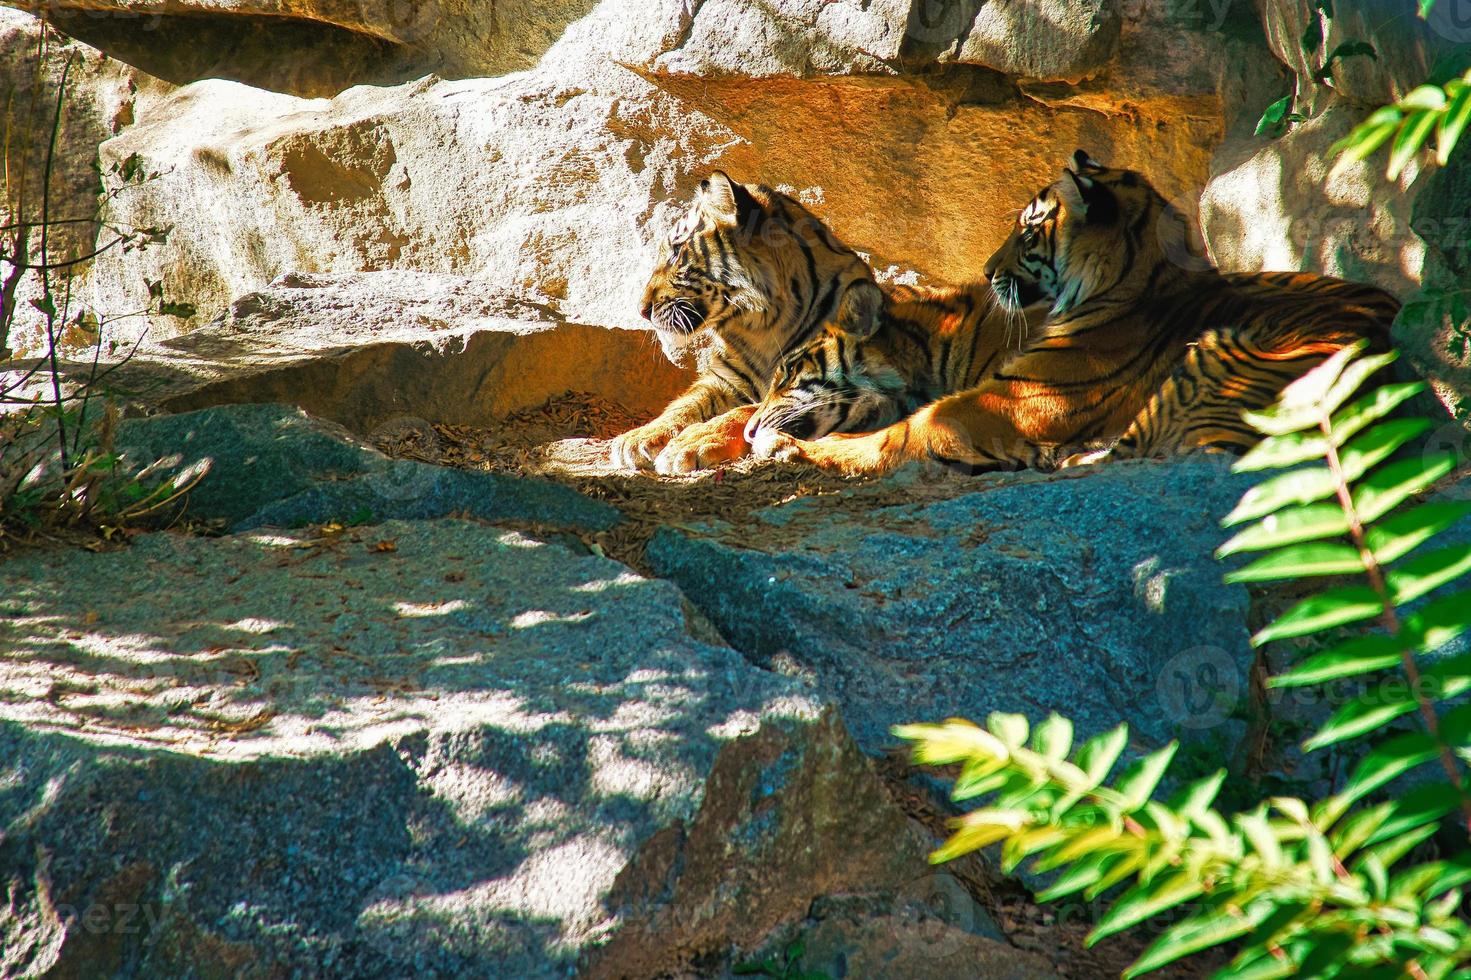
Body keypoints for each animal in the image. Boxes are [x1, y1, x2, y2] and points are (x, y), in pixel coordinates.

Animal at [611, 169, 882, 473]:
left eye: (677, 252)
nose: (641, 310)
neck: (761, 324)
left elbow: (748, 412)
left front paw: (691, 442)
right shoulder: (726, 379)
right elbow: (684, 404)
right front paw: (638, 437)